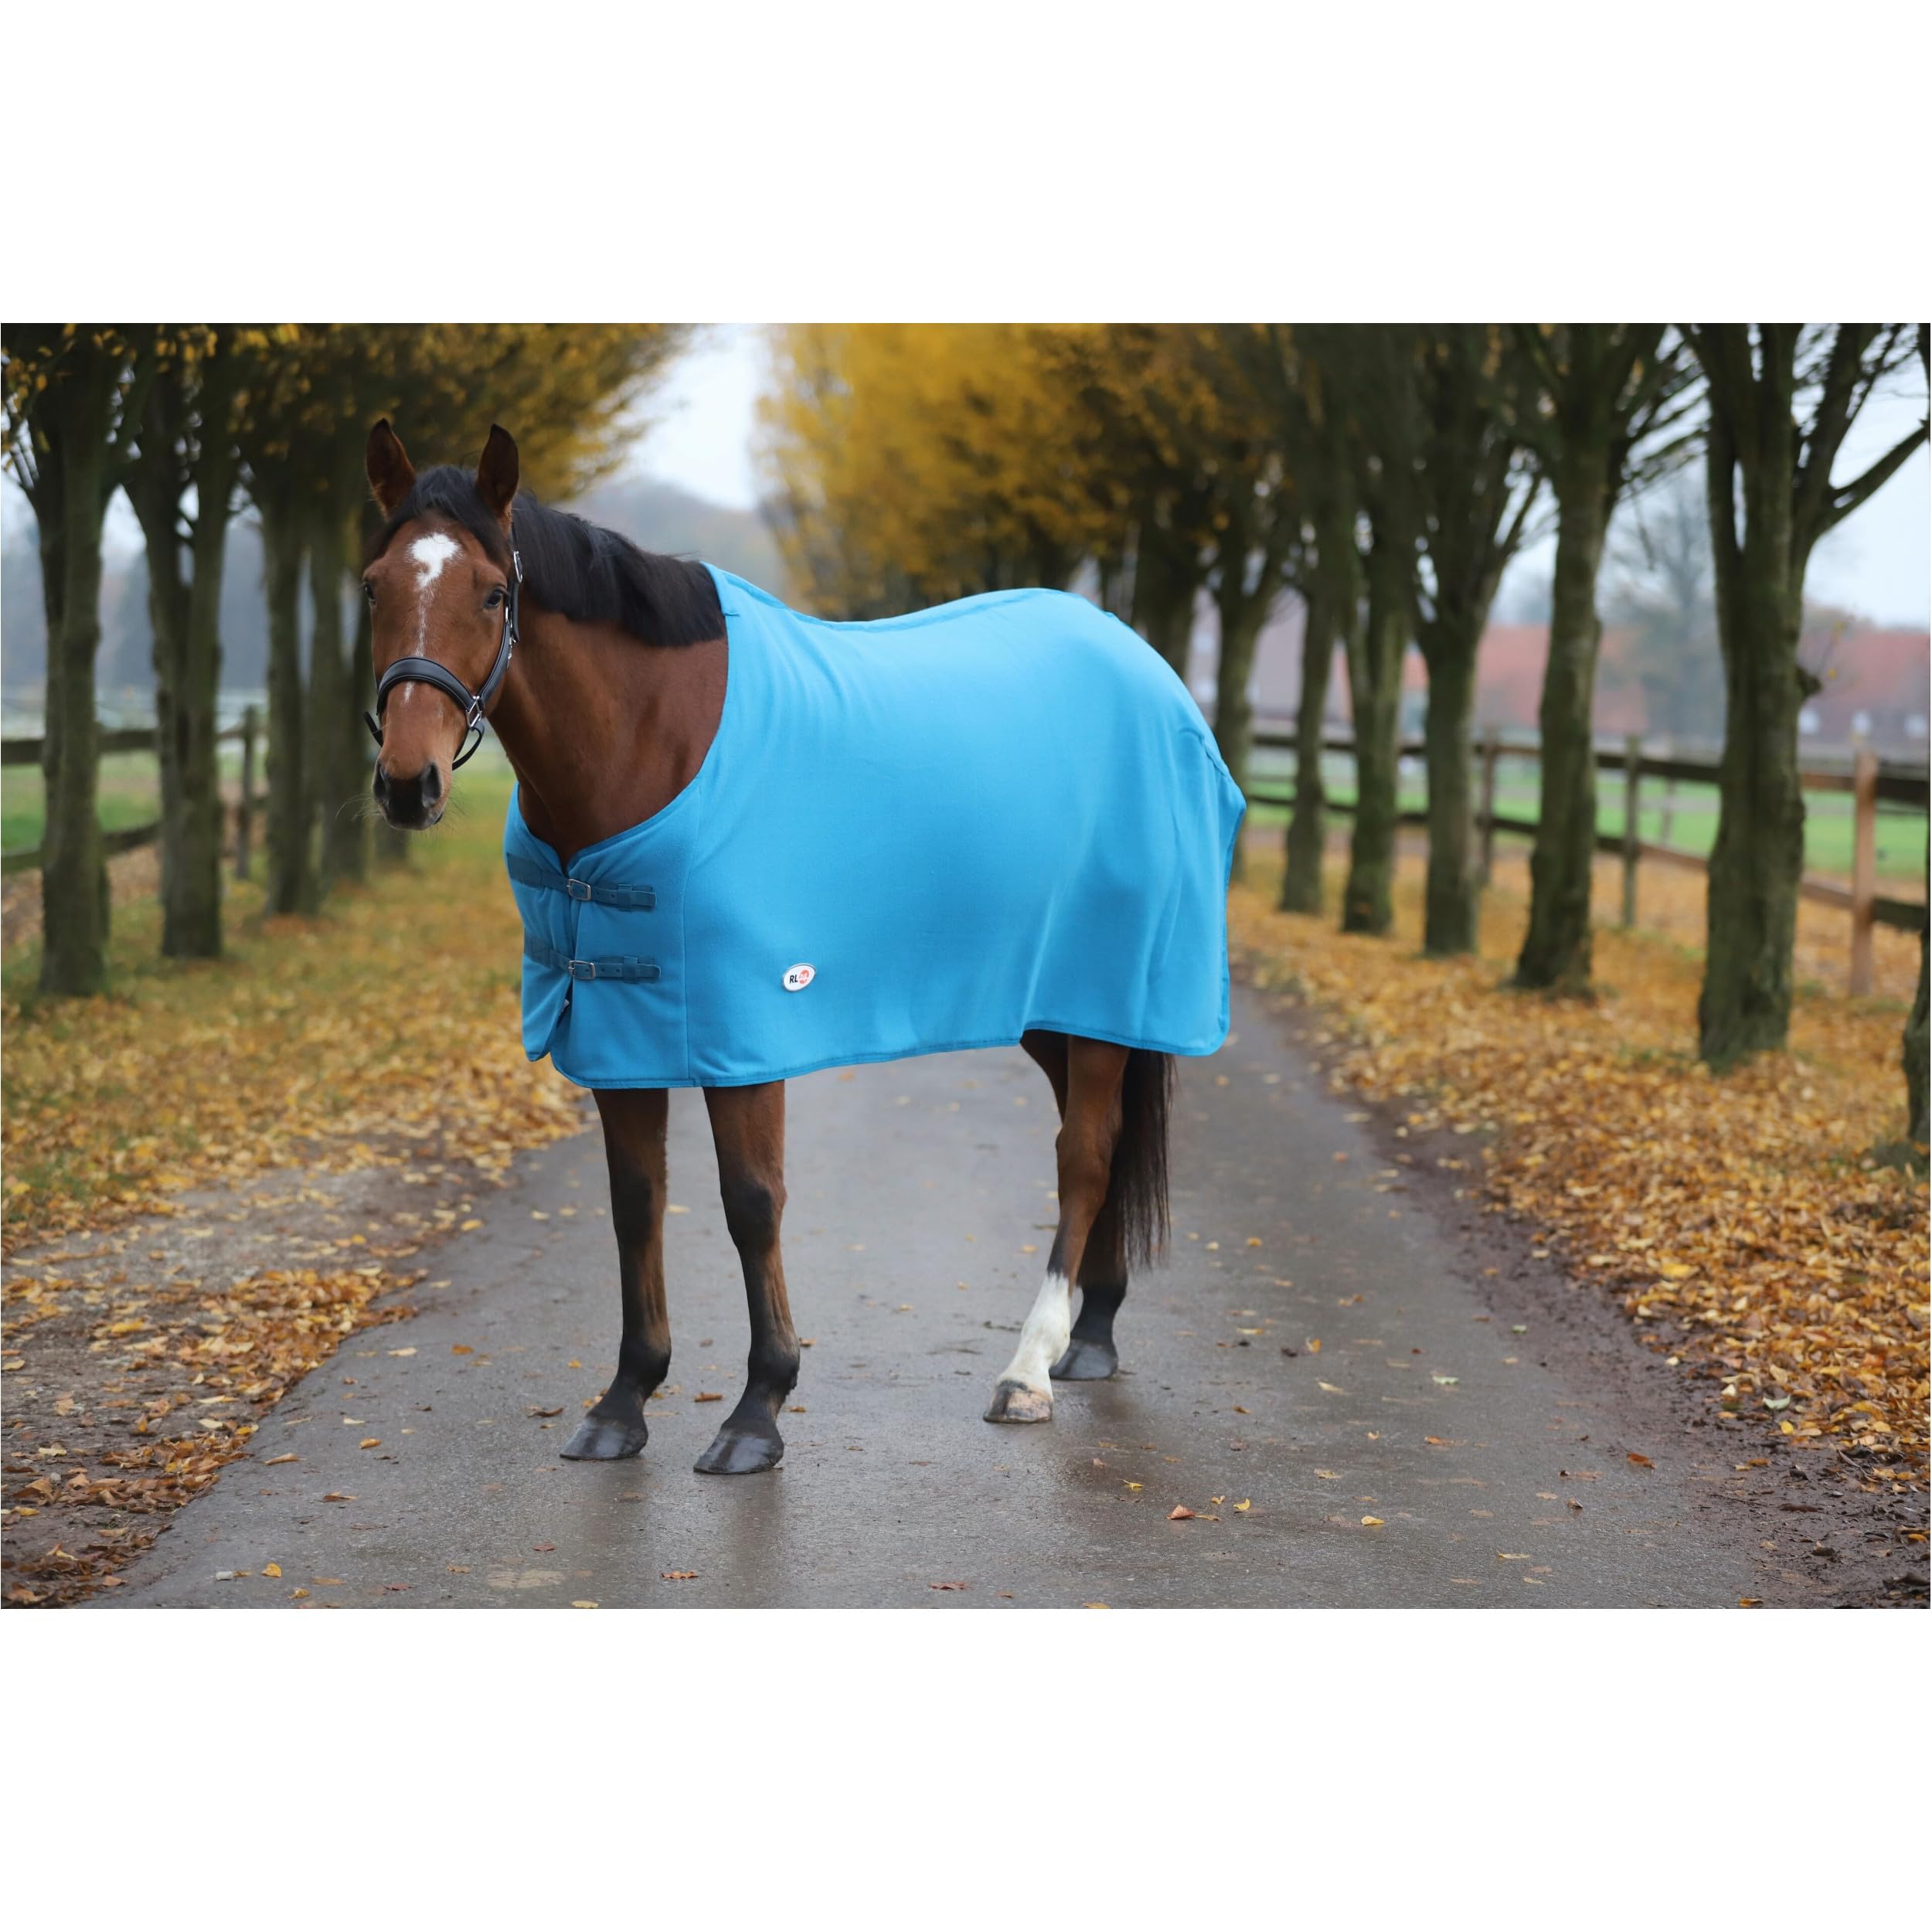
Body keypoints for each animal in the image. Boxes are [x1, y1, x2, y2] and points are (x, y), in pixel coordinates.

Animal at [360, 420, 1243, 1475]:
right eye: (373, 585)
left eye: (492, 593)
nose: (406, 784)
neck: (653, 741)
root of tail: (1151, 672)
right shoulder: (619, 1027)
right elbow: (636, 1199)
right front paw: (624, 1401)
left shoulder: (747, 1028)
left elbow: (751, 1201)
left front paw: (757, 1410)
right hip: (1052, 1007)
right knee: (1092, 1141)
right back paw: (1092, 1333)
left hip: (1109, 994)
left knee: (1085, 1157)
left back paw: (1028, 1368)